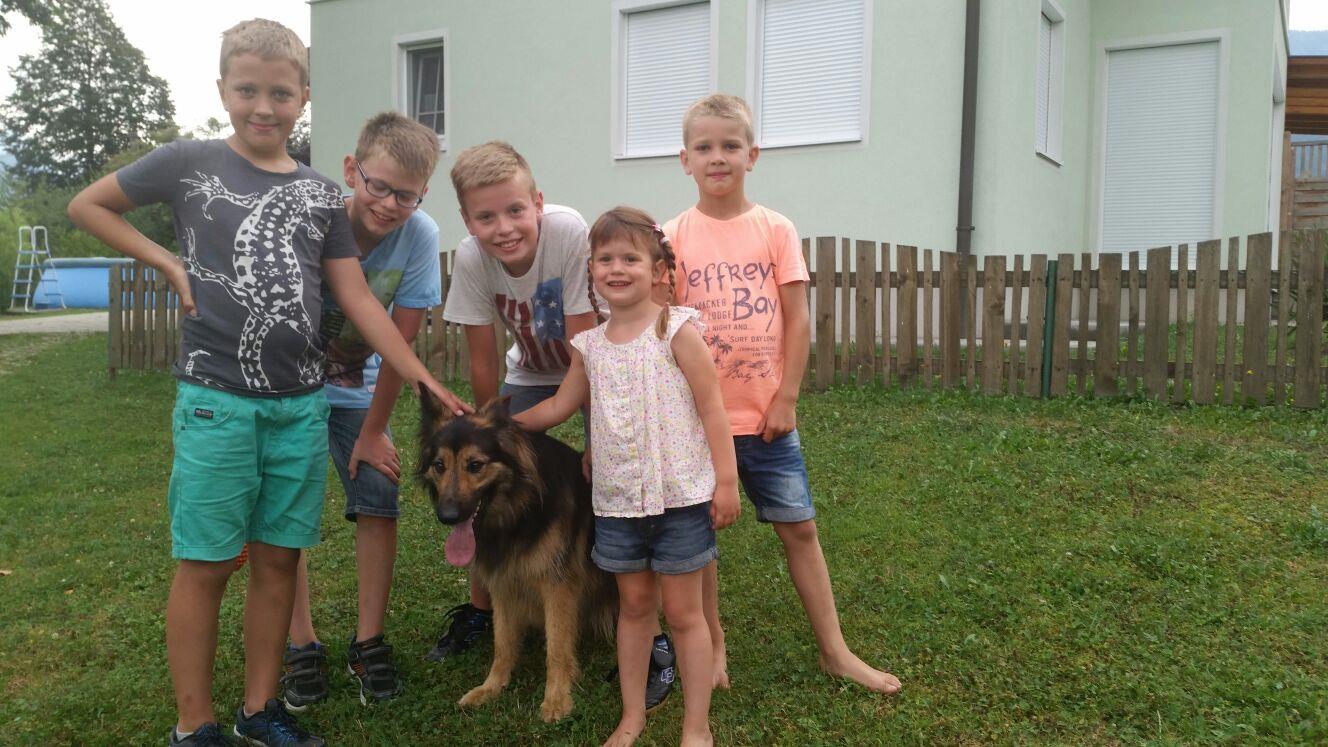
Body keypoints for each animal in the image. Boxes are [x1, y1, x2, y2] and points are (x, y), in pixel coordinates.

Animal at [417, 391, 616, 722]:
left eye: (475, 465)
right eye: (439, 465)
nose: (447, 516)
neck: (519, 510)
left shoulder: (557, 587)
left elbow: (557, 648)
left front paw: (557, 698)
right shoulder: (502, 584)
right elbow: (503, 644)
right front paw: (491, 687)